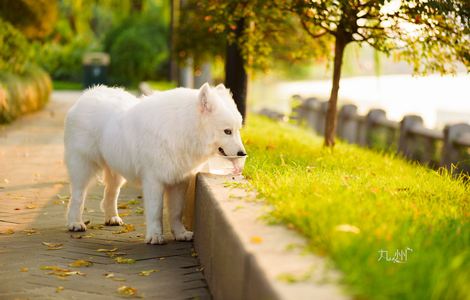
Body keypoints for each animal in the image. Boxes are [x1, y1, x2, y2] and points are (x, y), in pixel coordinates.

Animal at [64, 82, 248, 244]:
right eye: (227, 131)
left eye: (237, 130)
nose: (243, 153)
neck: (183, 128)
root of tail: (89, 93)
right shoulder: (154, 181)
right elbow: (155, 211)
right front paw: (154, 236)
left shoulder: (179, 181)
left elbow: (176, 211)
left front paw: (180, 234)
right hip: (83, 166)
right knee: (78, 196)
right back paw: (75, 223)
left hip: (116, 171)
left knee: (111, 192)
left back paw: (112, 218)